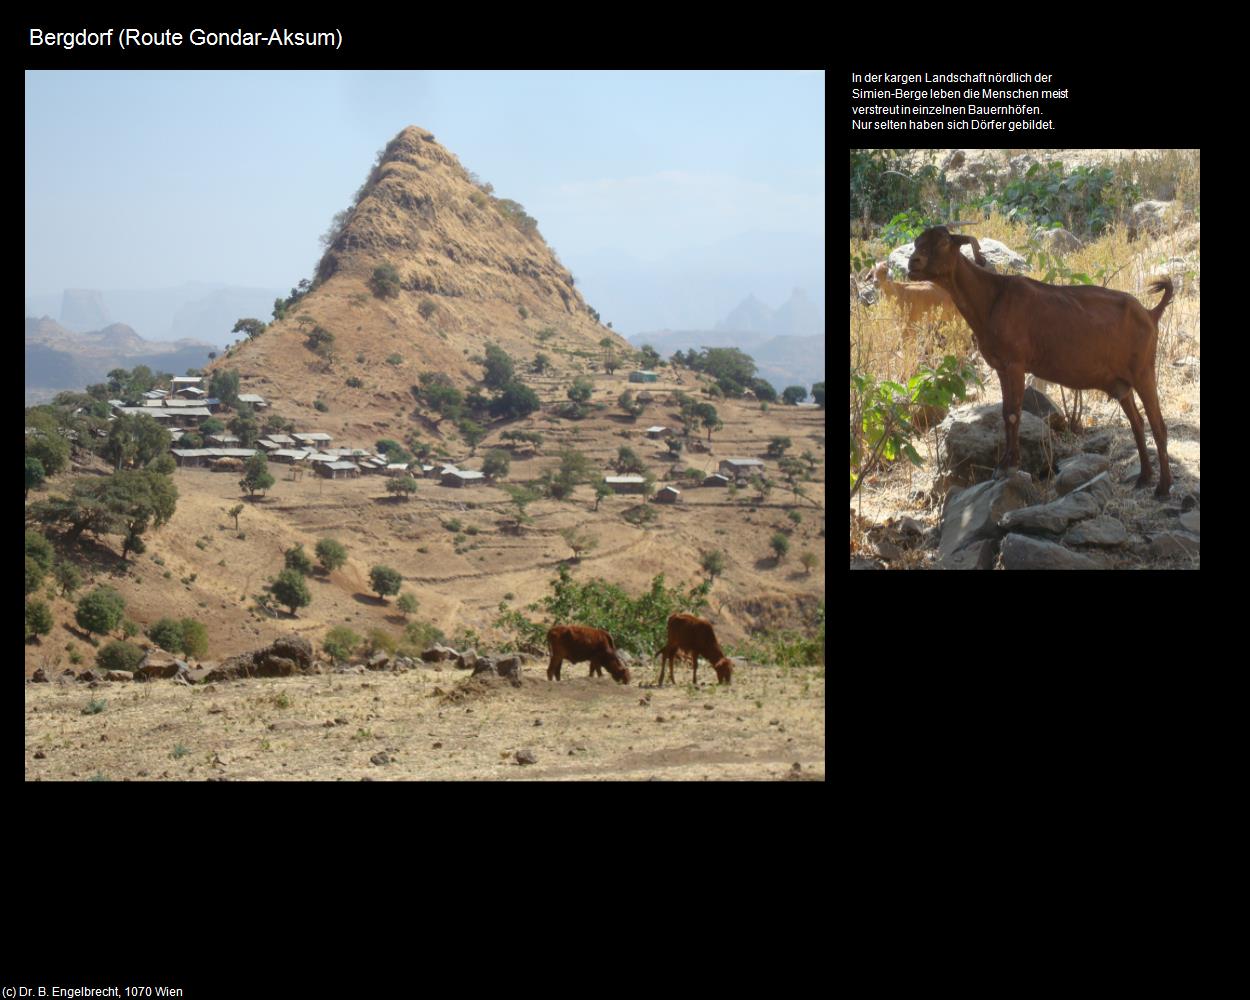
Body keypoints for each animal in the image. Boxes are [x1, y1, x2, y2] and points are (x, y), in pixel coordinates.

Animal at [910, 225, 1170, 495]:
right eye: (917, 242)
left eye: (943, 242)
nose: (913, 263)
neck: (992, 298)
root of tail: (1151, 314)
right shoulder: (1001, 367)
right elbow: (1005, 412)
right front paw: (1004, 465)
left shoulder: (1015, 364)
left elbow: (1013, 413)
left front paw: (1009, 466)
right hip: (1121, 384)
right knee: (1138, 422)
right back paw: (1144, 477)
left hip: (1143, 371)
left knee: (1158, 425)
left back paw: (1163, 488)